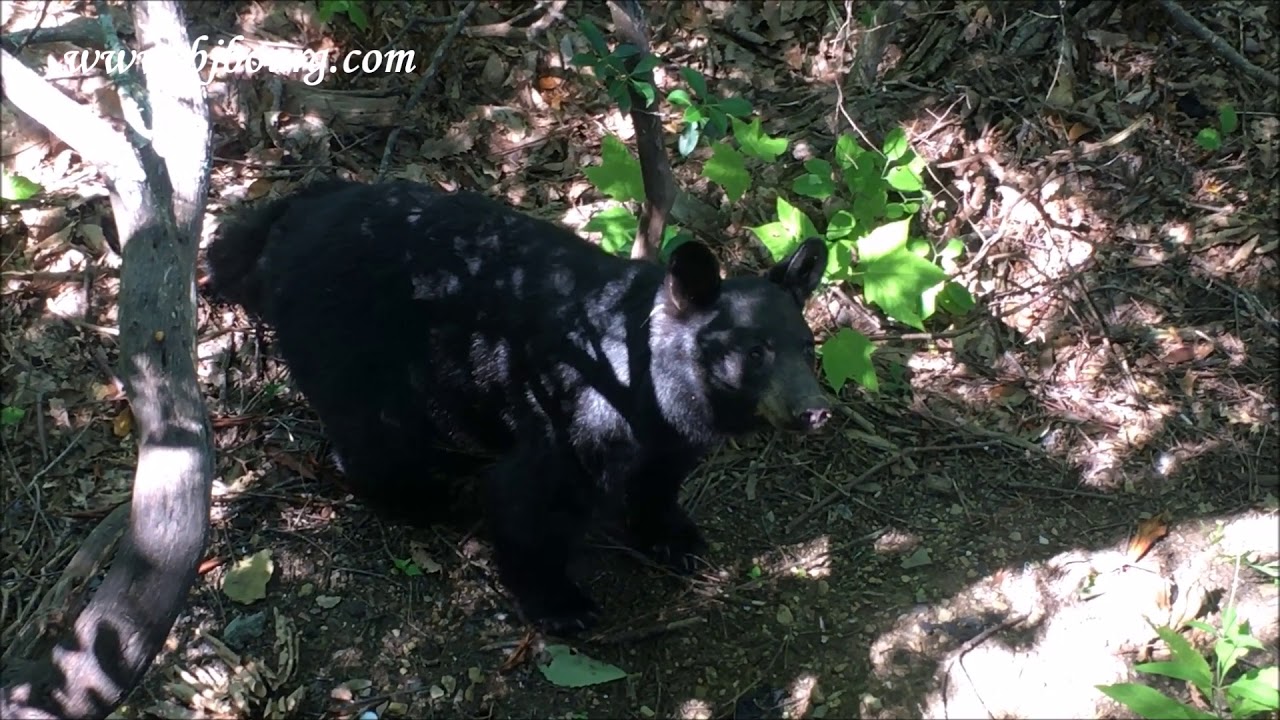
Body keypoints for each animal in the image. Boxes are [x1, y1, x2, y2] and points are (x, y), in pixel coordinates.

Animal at [205, 179, 831, 635]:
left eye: (807, 347)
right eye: (755, 351)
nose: (815, 410)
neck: (653, 389)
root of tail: (284, 222)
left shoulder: (671, 435)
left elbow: (658, 481)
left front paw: (676, 538)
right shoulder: (580, 422)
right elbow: (526, 502)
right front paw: (563, 605)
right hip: (351, 349)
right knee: (375, 440)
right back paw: (428, 498)